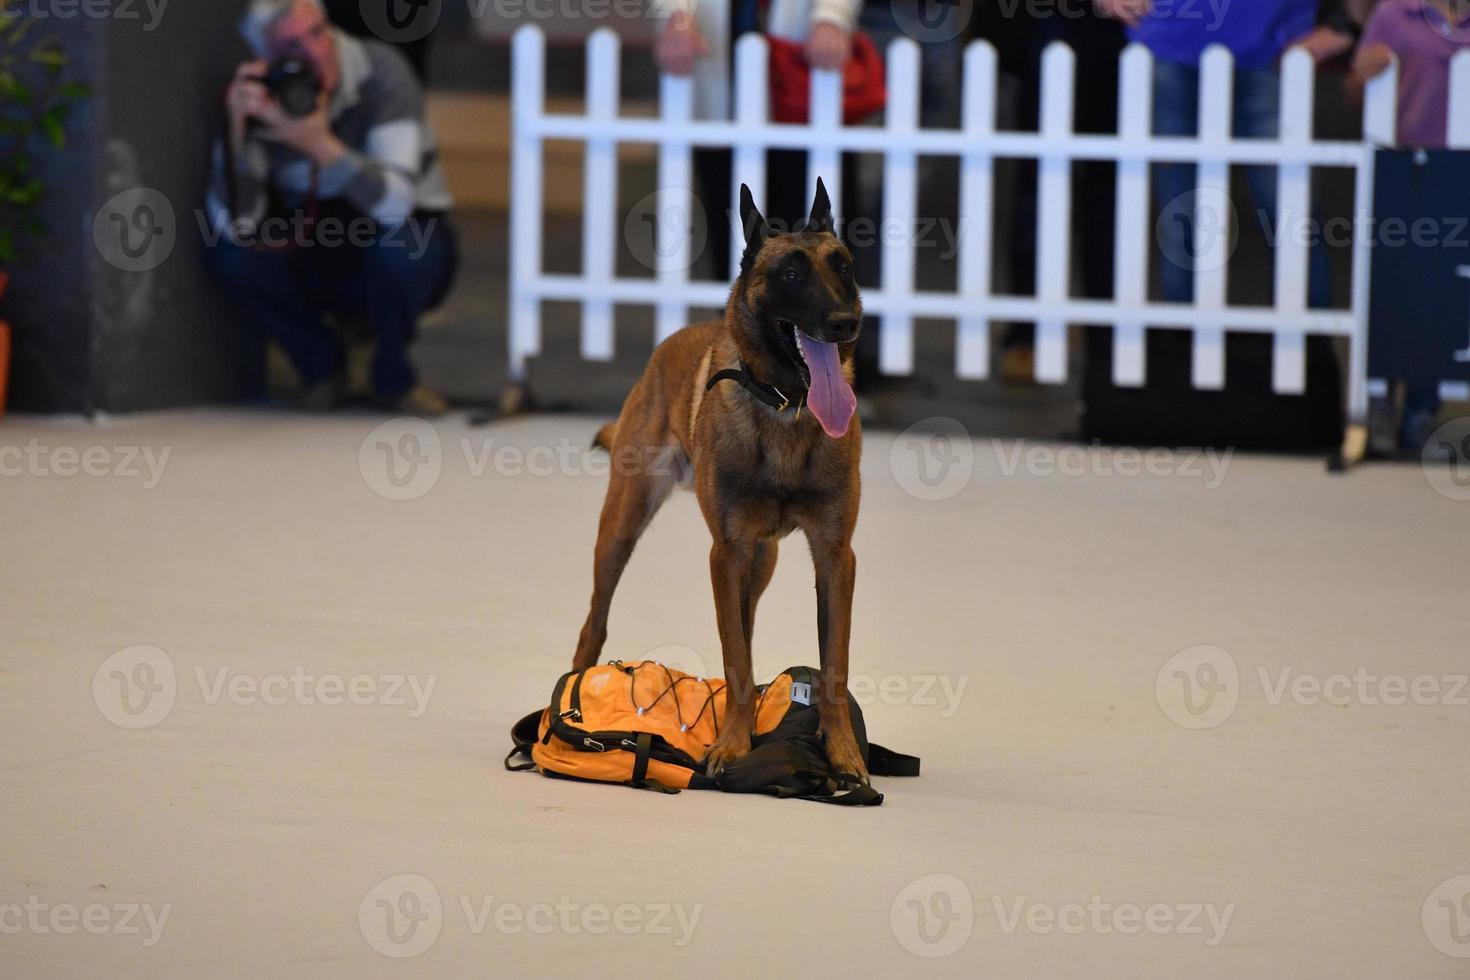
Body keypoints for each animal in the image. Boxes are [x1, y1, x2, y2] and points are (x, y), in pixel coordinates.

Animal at [564, 178, 864, 781]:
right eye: (791, 274)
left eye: (842, 266)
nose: (847, 321)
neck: (786, 406)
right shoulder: (725, 554)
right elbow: (737, 660)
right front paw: (731, 744)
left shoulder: (834, 556)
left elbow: (833, 666)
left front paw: (843, 753)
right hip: (622, 527)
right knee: (596, 622)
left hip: (761, 560)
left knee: (744, 625)